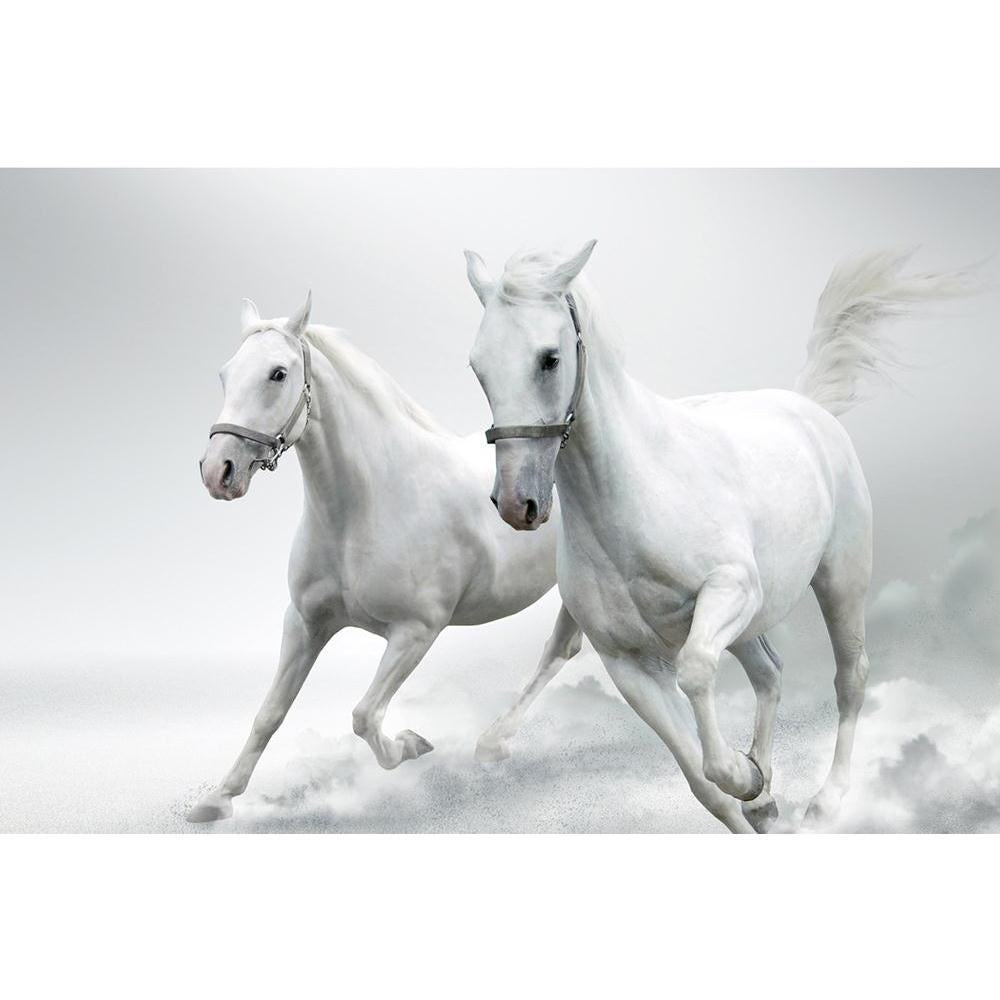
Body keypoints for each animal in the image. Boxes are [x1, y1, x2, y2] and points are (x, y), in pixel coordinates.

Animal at [188, 294, 582, 822]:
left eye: (278, 373)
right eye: (225, 373)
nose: (218, 471)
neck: (368, 505)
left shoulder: (416, 631)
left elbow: (364, 716)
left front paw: (412, 744)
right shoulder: (305, 624)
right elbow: (270, 713)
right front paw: (218, 799)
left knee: (560, 650)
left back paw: (492, 742)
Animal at [465, 243, 973, 833]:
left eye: (548, 358)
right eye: (478, 367)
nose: (516, 504)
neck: (636, 493)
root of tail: (809, 408)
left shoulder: (729, 591)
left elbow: (696, 674)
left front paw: (744, 775)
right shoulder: (629, 664)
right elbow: (702, 783)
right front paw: (750, 790)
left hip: (840, 579)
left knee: (851, 677)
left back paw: (826, 800)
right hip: (751, 623)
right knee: (770, 673)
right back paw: (769, 791)